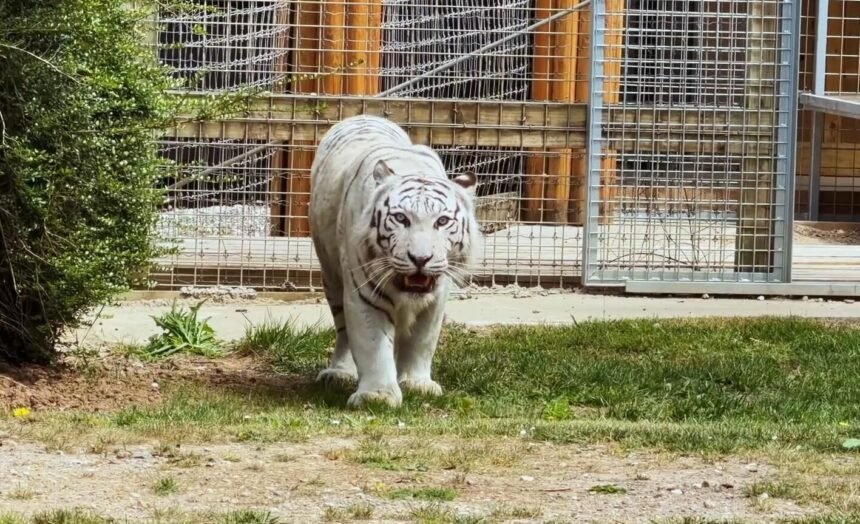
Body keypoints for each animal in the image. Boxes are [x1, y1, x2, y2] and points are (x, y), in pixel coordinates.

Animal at [308, 114, 480, 409]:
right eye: (401, 218)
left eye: (442, 221)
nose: (420, 259)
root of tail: (362, 116)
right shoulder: (364, 291)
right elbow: (373, 345)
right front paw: (376, 396)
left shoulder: (436, 298)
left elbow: (422, 340)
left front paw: (417, 383)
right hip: (331, 276)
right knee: (343, 331)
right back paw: (338, 374)